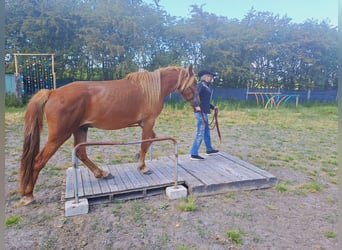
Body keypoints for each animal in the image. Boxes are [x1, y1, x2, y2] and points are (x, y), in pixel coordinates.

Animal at [13, 64, 199, 207]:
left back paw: (101, 173)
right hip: (59, 135)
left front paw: (138, 158)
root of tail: (52, 92)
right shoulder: (148, 122)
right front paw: (143, 167)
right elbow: (145, 143)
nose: (198, 104)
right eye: (195, 82)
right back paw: (29, 195)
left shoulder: (145, 124)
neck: (151, 89)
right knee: (38, 161)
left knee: (81, 153)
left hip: (80, 129)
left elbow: (151, 138)